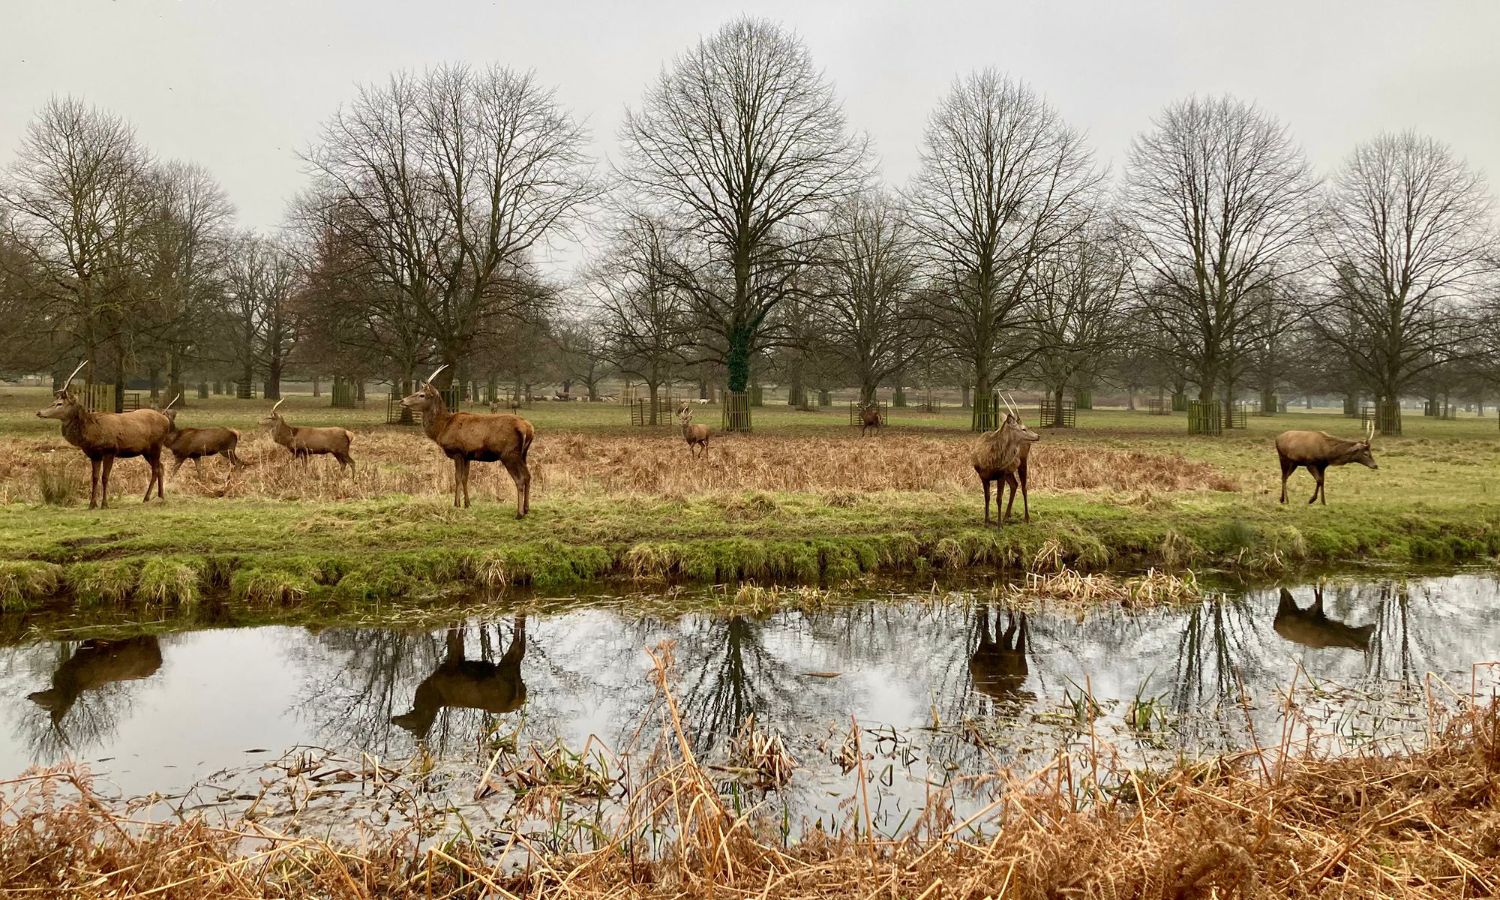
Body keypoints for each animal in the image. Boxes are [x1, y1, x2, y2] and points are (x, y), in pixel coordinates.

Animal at [36, 361, 171, 508]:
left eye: (59, 403)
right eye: (54, 402)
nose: (39, 412)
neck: (91, 433)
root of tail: (166, 420)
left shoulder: (109, 450)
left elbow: (105, 477)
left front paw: (104, 504)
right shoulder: (94, 455)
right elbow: (94, 478)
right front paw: (92, 504)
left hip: (156, 445)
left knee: (156, 469)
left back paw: (148, 497)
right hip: (146, 450)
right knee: (161, 466)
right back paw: (160, 496)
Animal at [392, 617, 527, 739]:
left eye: (411, 727)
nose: (393, 720)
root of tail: (520, 697)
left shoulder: (452, 665)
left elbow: (453, 636)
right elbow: (459, 634)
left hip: (504, 673)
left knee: (516, 647)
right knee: (521, 647)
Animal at [401, 365, 533, 515]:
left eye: (421, 394)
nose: (402, 401)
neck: (442, 428)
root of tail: (527, 429)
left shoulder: (457, 451)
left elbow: (457, 478)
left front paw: (456, 503)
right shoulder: (468, 455)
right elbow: (465, 478)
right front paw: (467, 503)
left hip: (509, 453)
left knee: (520, 479)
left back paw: (519, 513)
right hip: (523, 454)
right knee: (528, 476)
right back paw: (527, 509)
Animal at [970, 394, 1040, 525]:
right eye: (1023, 428)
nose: (1038, 436)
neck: (990, 460)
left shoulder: (1001, 474)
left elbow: (999, 499)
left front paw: (998, 524)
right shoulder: (983, 475)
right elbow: (987, 497)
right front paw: (987, 521)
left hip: (1023, 461)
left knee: (1024, 487)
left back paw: (1027, 518)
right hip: (1009, 471)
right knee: (1014, 485)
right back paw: (1006, 515)